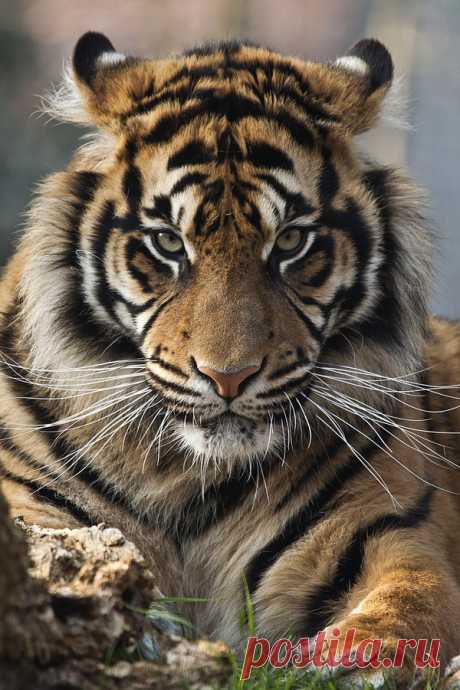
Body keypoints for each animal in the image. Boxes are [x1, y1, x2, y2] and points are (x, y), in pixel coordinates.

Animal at [0, 30, 460, 684]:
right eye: (168, 243)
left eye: (291, 241)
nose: (228, 377)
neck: (186, 476)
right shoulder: (36, 511)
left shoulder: (390, 530)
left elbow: (411, 599)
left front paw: (348, 659)